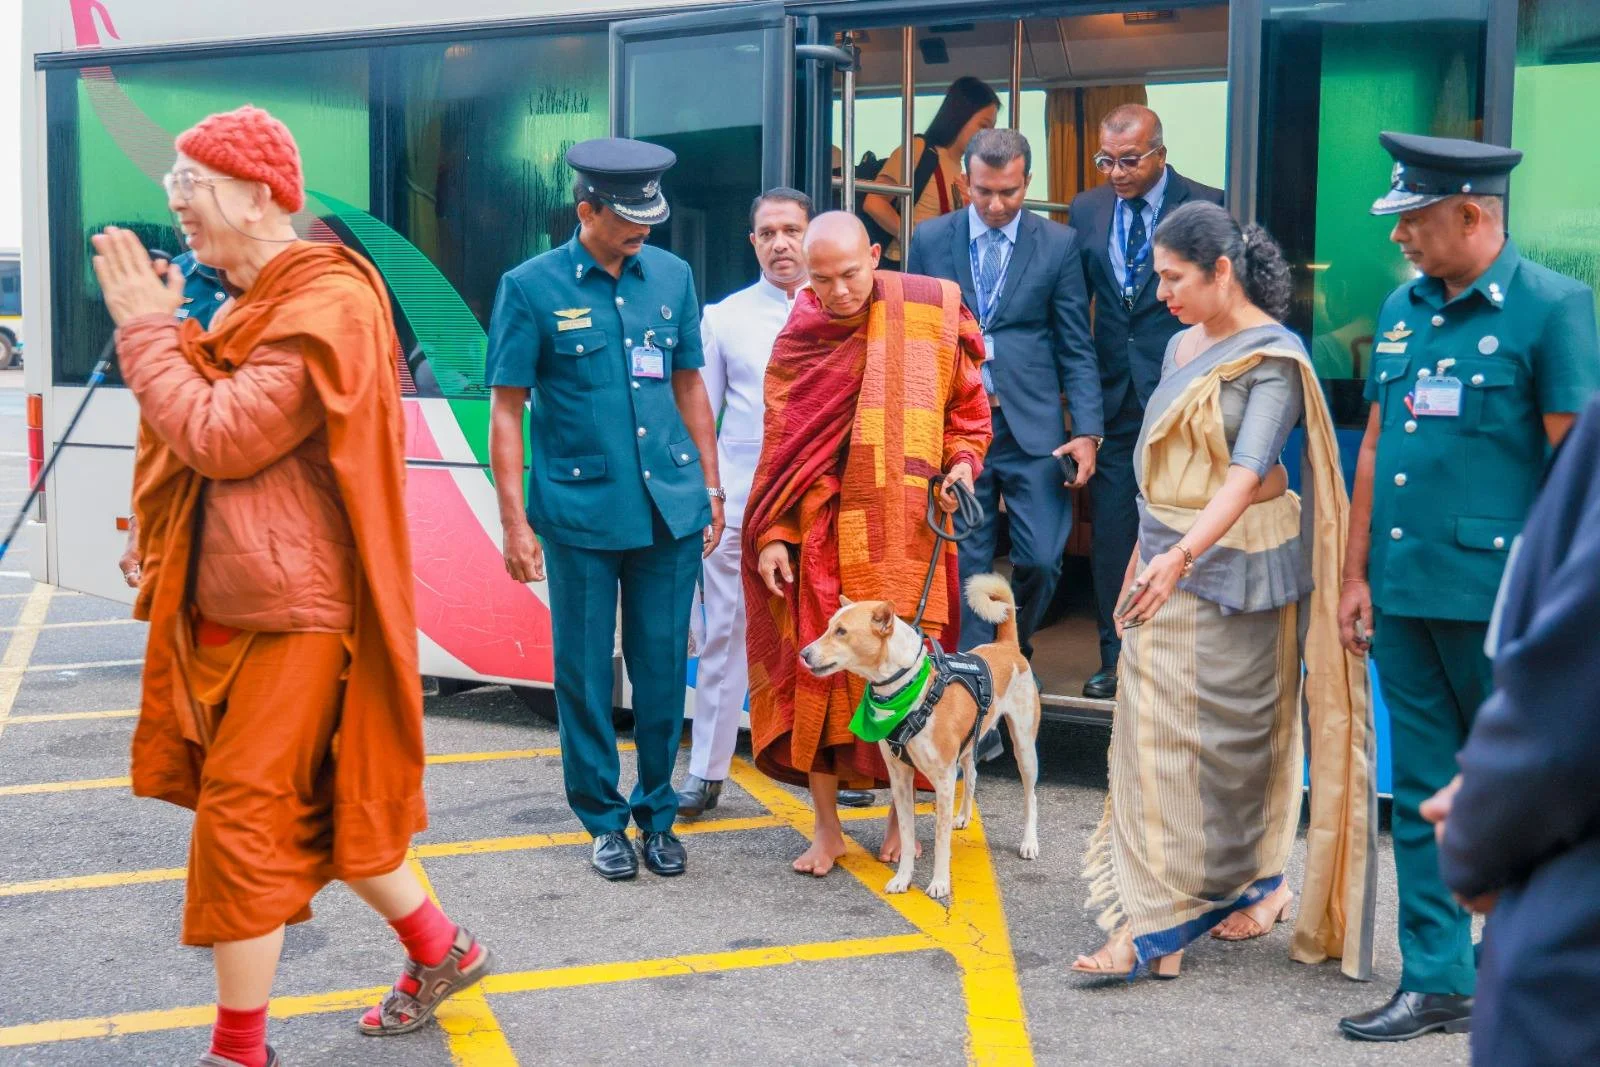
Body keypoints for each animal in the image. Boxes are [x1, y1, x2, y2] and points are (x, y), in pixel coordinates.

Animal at [798, 574, 1041, 901]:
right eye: (828, 627)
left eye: (842, 631)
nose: (804, 654)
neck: (911, 688)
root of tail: (1006, 646)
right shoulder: (900, 778)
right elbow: (905, 832)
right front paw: (903, 879)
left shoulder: (943, 779)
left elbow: (940, 840)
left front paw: (939, 883)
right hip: (969, 743)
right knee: (973, 775)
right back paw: (963, 817)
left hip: (1024, 748)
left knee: (1030, 796)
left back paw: (1029, 842)